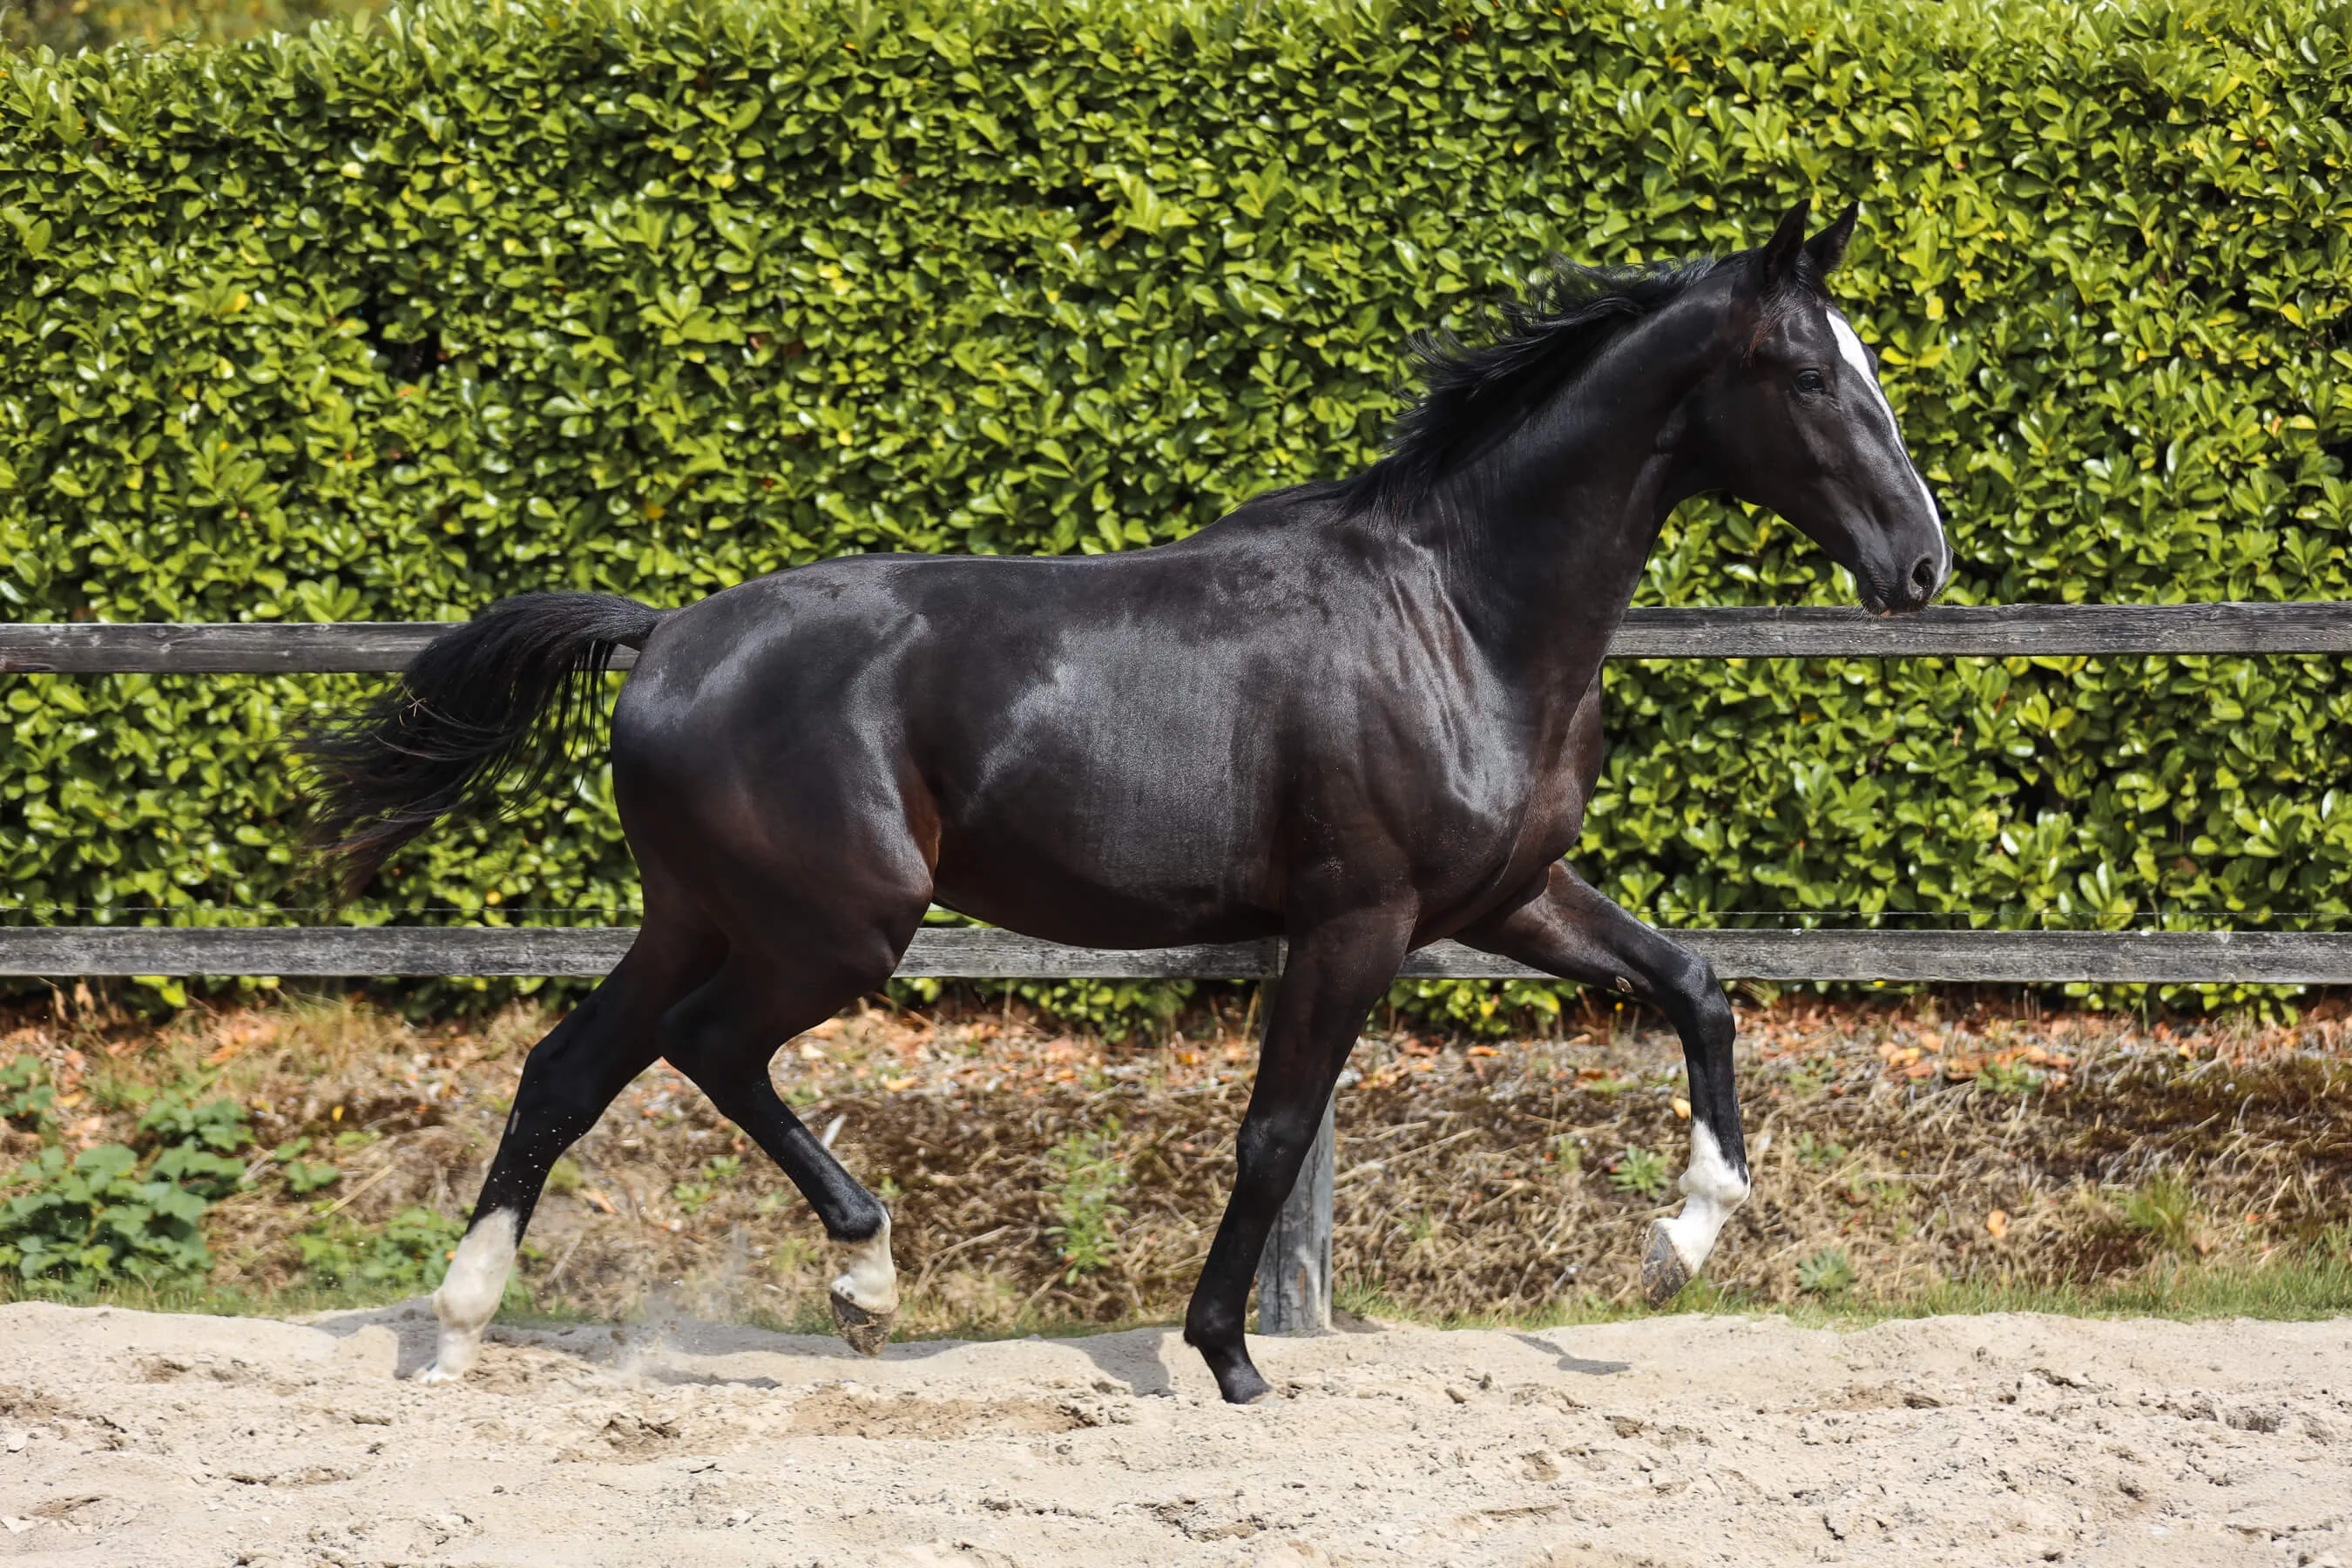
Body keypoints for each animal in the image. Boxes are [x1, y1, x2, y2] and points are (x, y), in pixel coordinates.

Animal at [302, 201, 1948, 1404]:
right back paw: (862, 1283)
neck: (1459, 614)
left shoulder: (1508, 898)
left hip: (704, 914)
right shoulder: (1358, 919)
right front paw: (1226, 1359)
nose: (1920, 564)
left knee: (569, 1070)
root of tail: (664, 638)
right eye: (1811, 375)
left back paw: (460, 1327)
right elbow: (1275, 1131)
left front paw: (1683, 1239)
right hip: (833, 928)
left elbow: (1697, 984)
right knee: (711, 1053)